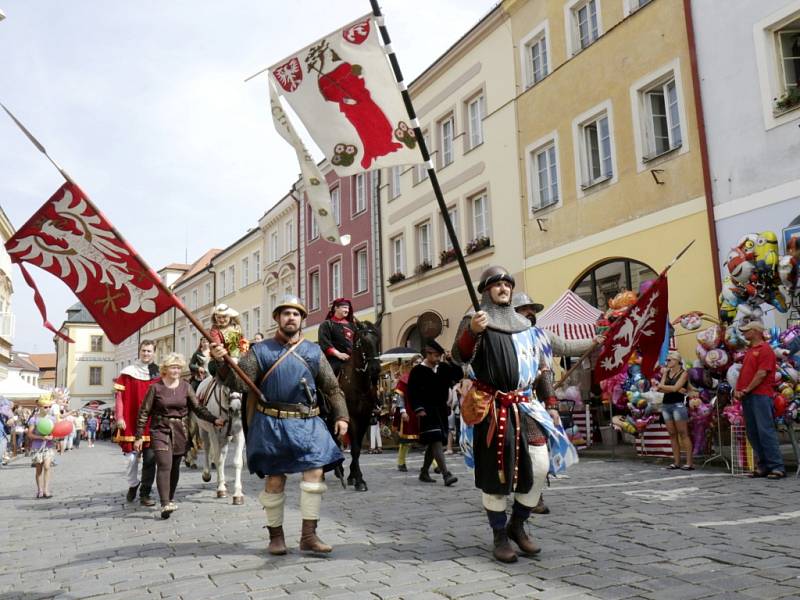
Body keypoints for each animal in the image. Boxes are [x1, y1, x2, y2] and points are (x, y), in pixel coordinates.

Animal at [332, 322, 382, 490]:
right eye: (362, 342)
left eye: (378, 339)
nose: (375, 369)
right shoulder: (352, 418)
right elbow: (354, 448)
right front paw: (359, 479)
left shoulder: (365, 417)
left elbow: (358, 447)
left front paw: (353, 476)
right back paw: (337, 468)